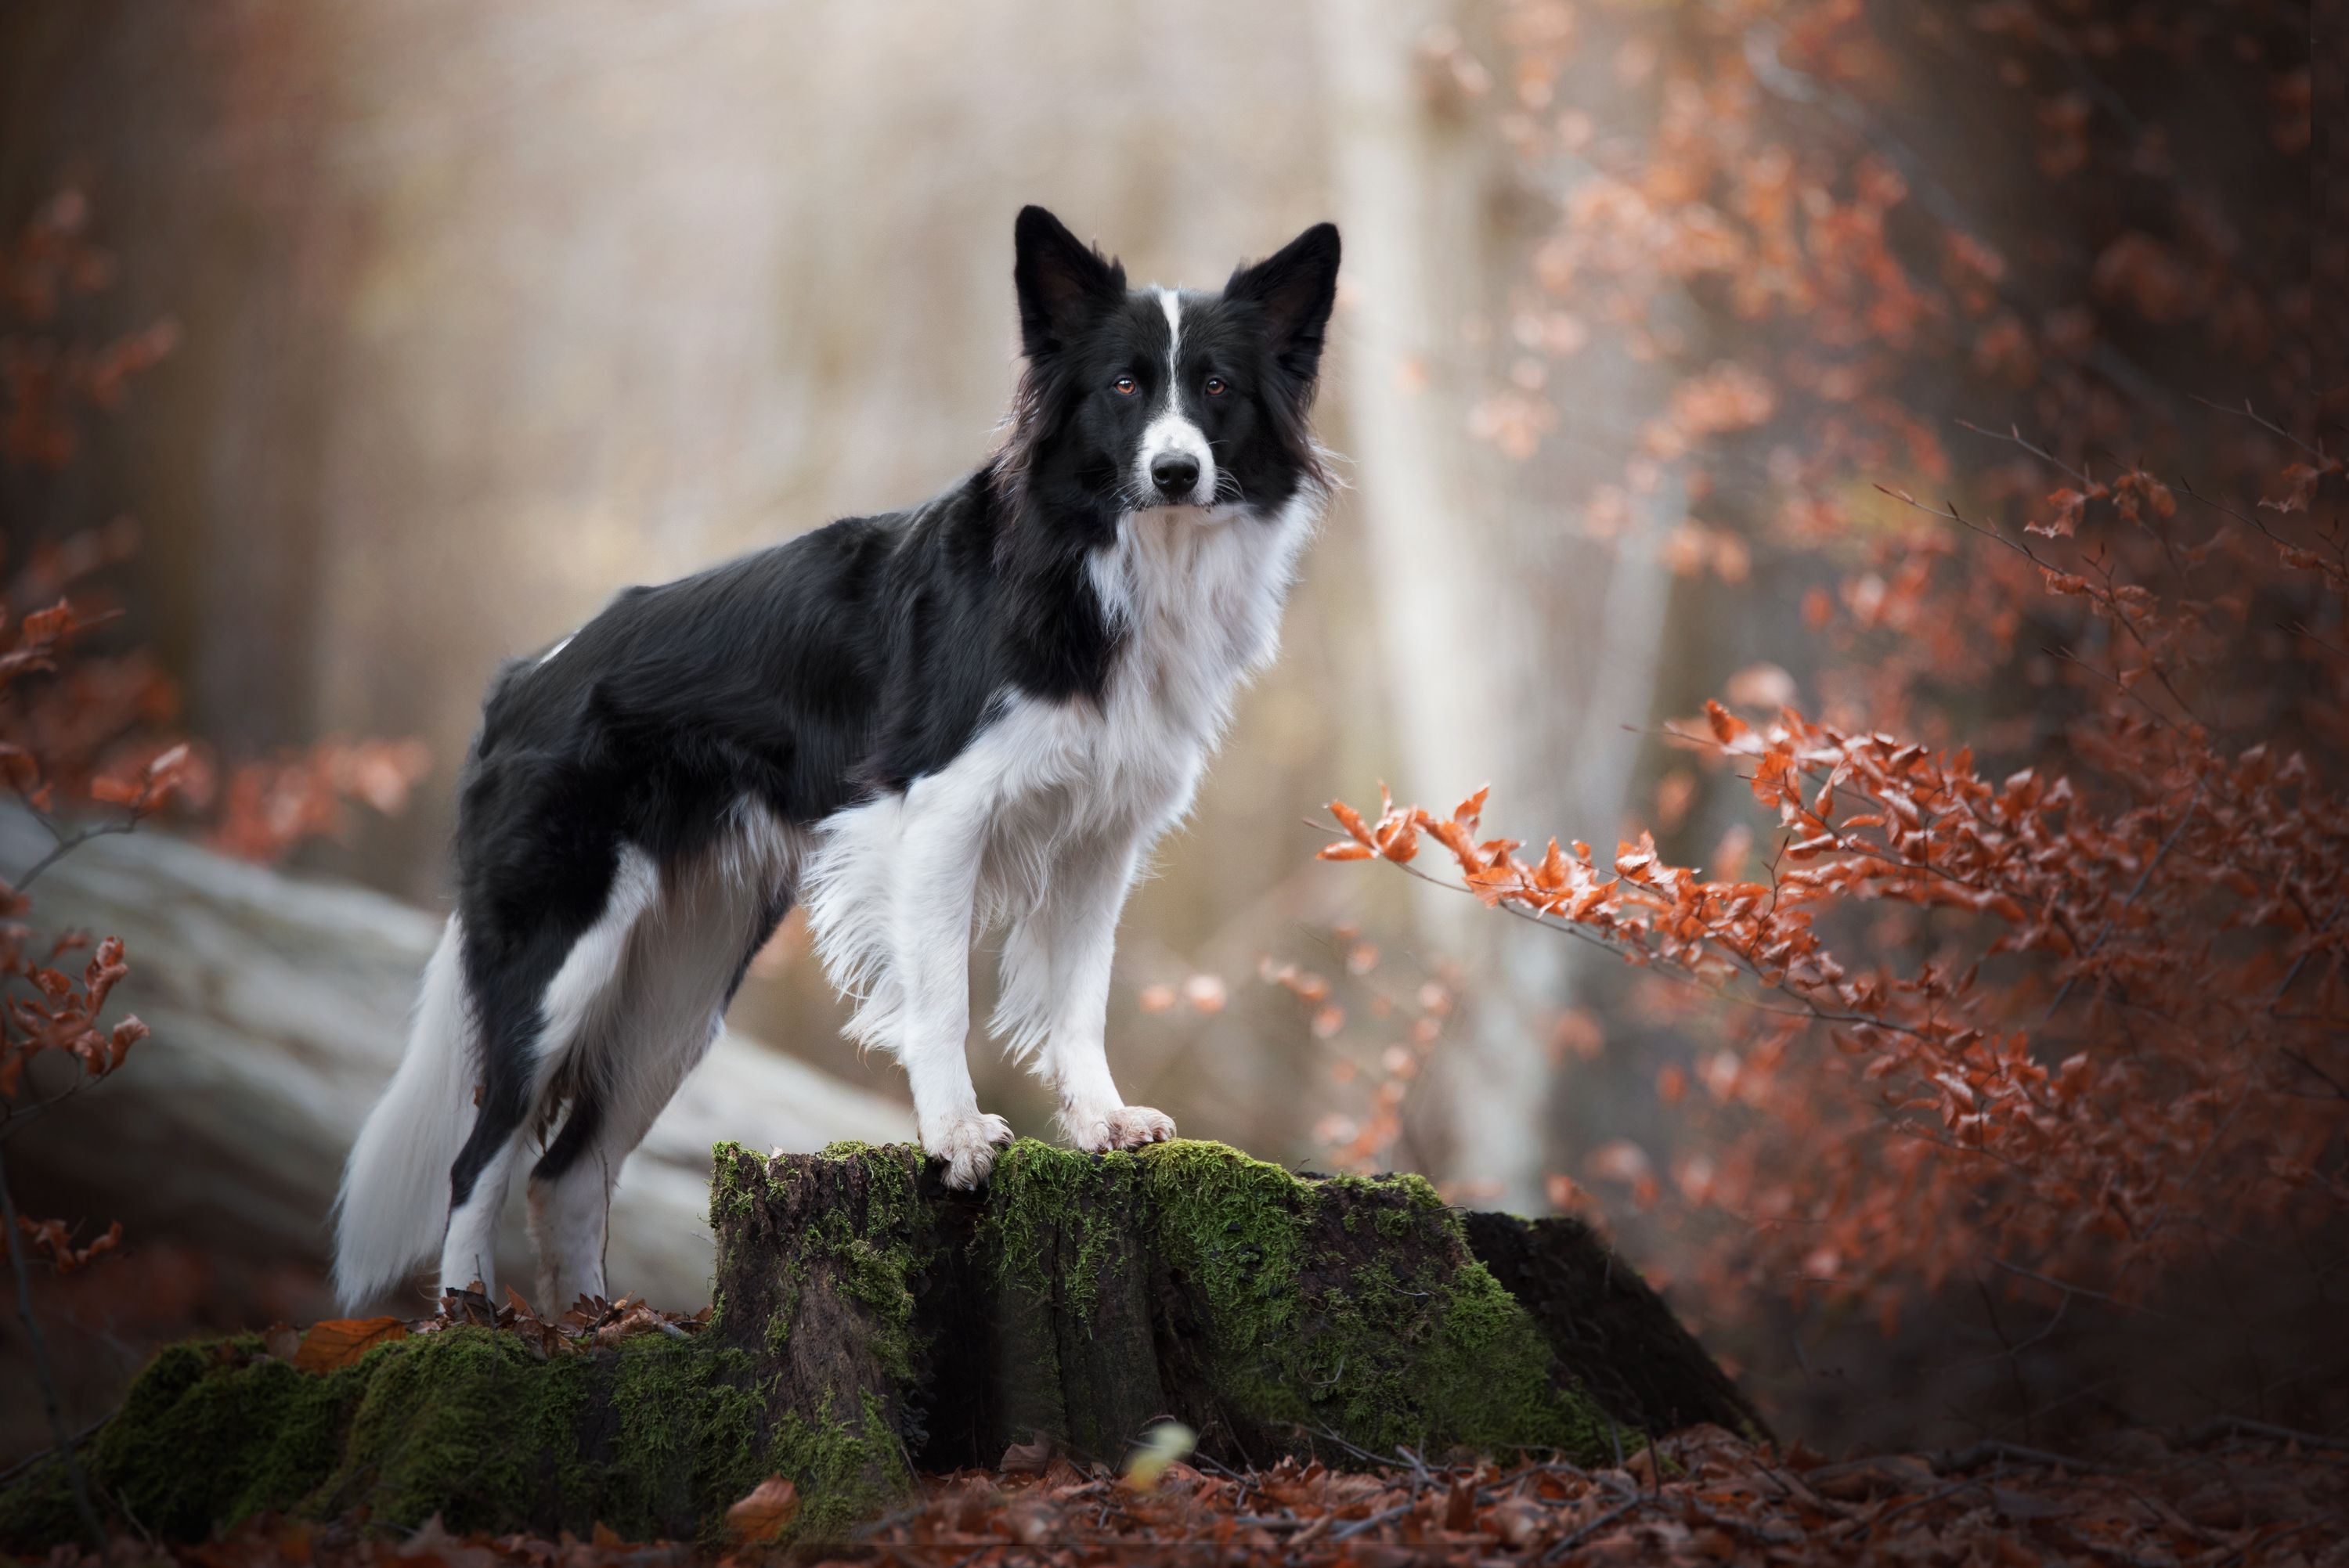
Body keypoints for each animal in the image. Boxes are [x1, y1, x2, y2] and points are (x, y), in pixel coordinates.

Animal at [331, 207, 1344, 1314]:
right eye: (1123, 386)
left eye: (1217, 388)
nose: (1174, 473)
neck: (1111, 561)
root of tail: (524, 678)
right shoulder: (938, 812)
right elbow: (942, 999)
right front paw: (956, 1136)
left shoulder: (1100, 838)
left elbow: (1080, 998)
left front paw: (1102, 1121)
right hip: (562, 958)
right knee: (480, 1157)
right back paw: (470, 1318)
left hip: (680, 988)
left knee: (568, 1172)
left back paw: (599, 1327)